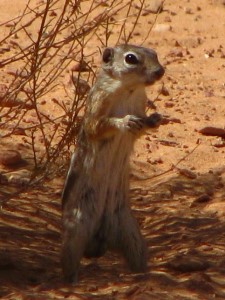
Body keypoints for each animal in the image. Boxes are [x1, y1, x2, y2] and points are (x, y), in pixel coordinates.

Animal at [60, 43, 164, 282]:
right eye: (130, 59)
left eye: (154, 53)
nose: (159, 71)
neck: (128, 89)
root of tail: (101, 236)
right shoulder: (98, 105)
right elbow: (98, 126)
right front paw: (124, 121)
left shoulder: (140, 105)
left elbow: (141, 127)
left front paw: (155, 119)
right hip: (76, 231)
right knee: (69, 261)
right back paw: (70, 282)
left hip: (130, 232)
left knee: (136, 256)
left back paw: (144, 276)